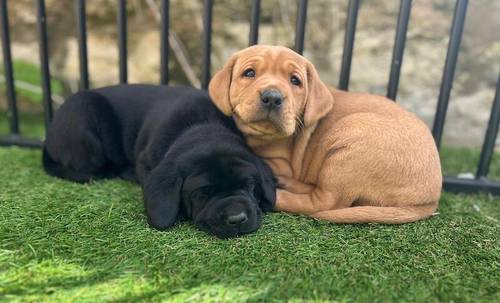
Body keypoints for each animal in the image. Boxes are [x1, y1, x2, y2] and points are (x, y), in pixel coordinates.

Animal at [42, 84, 276, 239]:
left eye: (249, 186)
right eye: (203, 193)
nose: (236, 218)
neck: (202, 125)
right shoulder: (145, 161)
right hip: (86, 112)